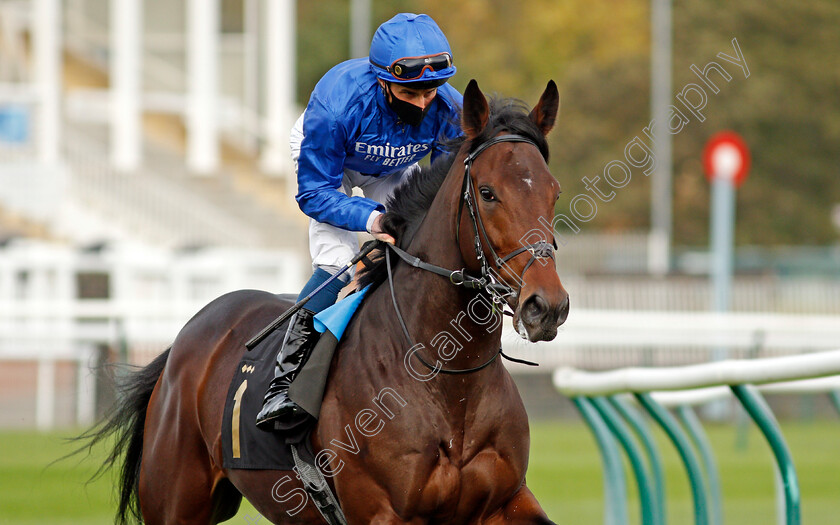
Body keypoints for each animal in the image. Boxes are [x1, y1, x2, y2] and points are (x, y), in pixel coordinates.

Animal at [85, 79, 572, 524]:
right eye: (488, 193)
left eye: (554, 191)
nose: (546, 306)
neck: (450, 382)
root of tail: (185, 338)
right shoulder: (382, 512)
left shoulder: (506, 502)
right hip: (176, 500)